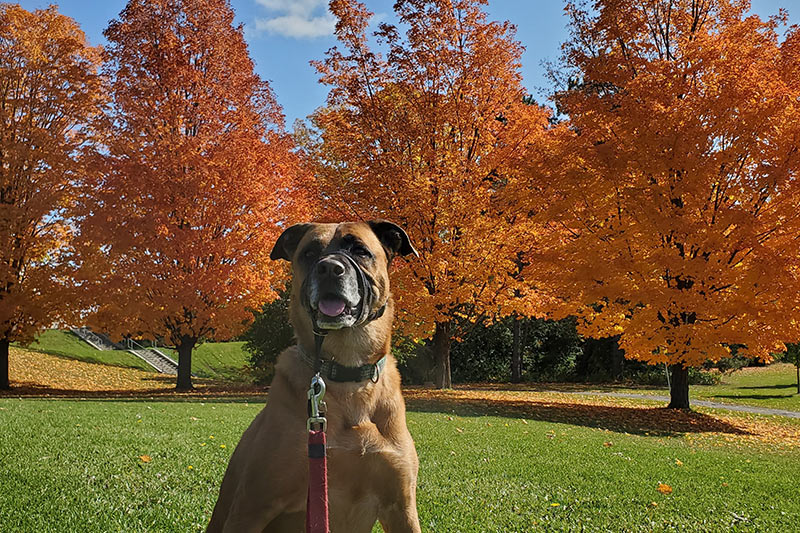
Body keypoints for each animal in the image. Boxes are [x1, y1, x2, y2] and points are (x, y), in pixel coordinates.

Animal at [206, 220, 422, 532]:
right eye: (308, 253)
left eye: (360, 250)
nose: (329, 268)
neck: (348, 374)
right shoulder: (250, 507)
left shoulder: (402, 508)